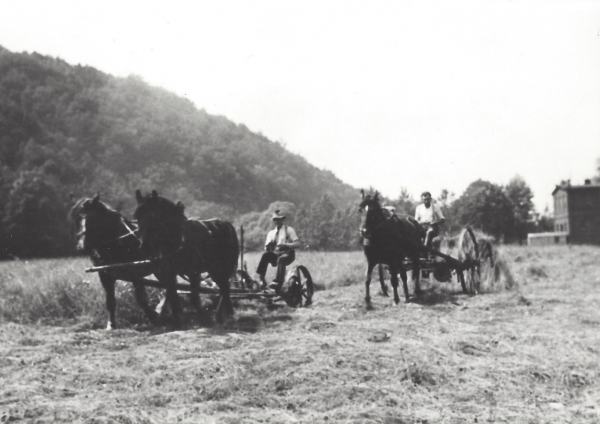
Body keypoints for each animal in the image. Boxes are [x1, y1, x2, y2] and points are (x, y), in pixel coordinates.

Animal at [68, 194, 159, 330]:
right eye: (75, 218)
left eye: (91, 219)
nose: (81, 247)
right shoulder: (105, 275)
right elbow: (110, 300)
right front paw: (111, 325)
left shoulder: (135, 273)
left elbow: (141, 298)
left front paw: (155, 317)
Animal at [134, 189, 239, 324]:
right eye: (137, 217)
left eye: (153, 216)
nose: (144, 246)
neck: (178, 239)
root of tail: (227, 224)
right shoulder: (169, 274)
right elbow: (173, 296)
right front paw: (177, 320)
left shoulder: (193, 272)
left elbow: (194, 296)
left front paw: (202, 319)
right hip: (214, 269)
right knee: (223, 287)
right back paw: (221, 315)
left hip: (224, 267)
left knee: (225, 288)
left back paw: (226, 315)